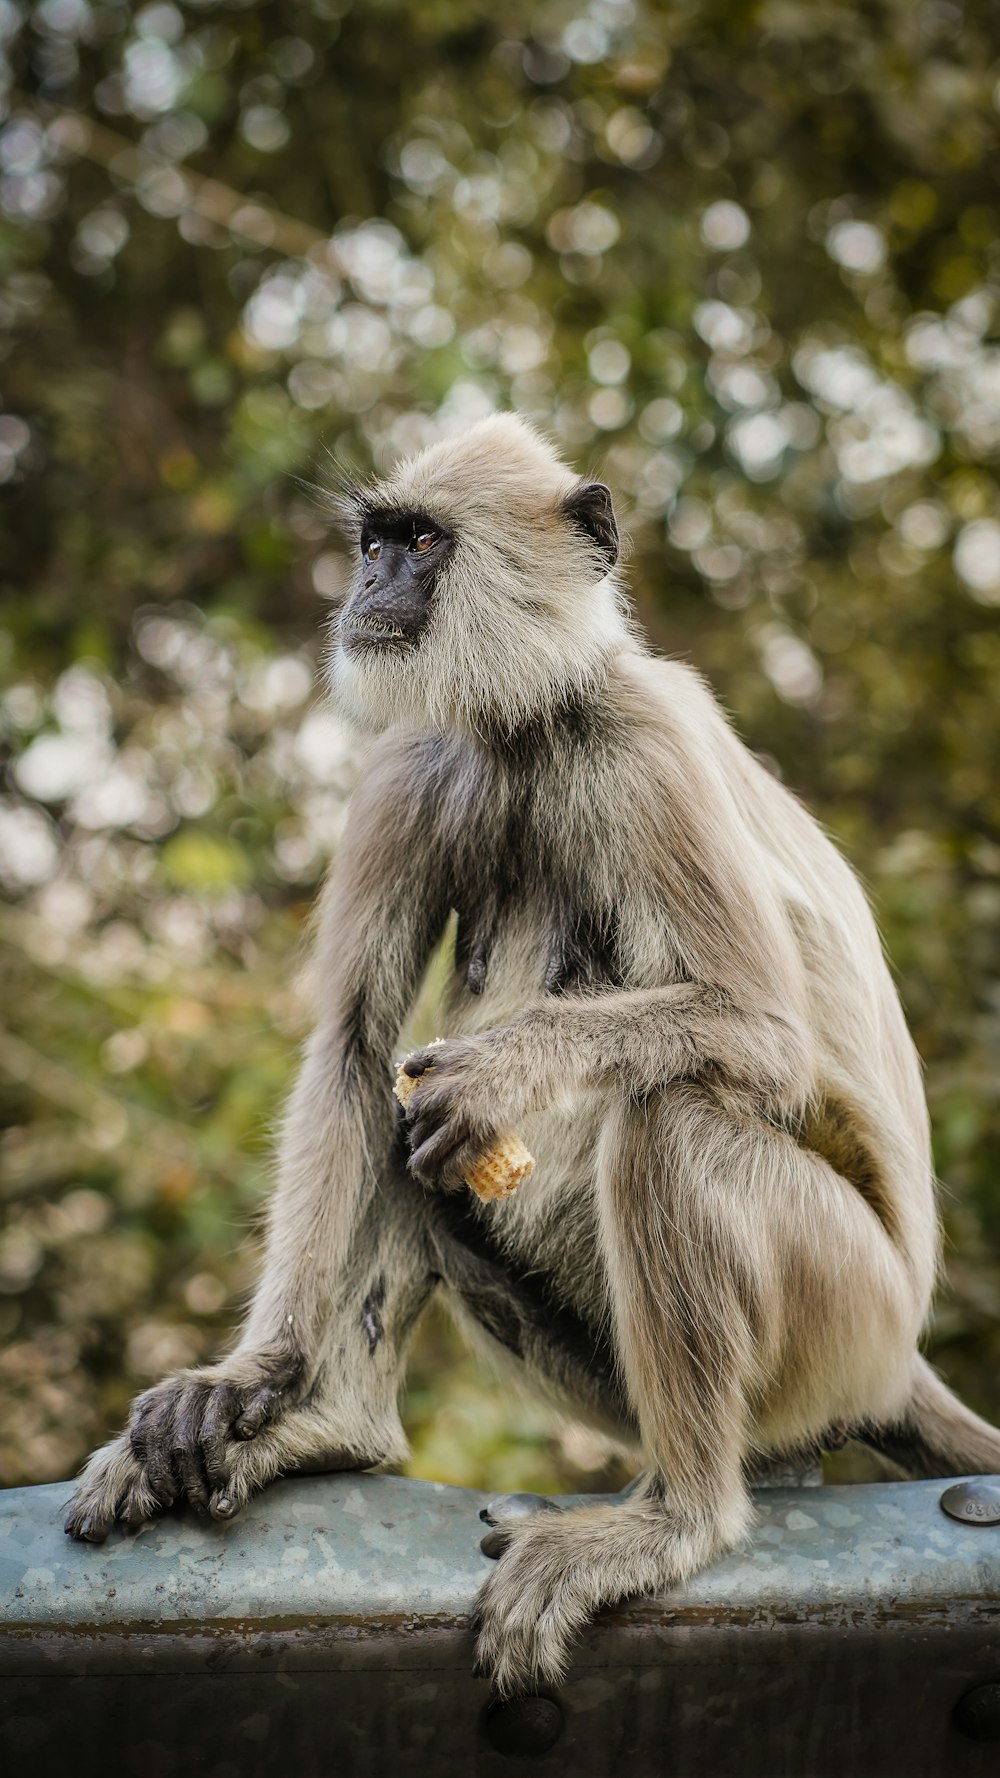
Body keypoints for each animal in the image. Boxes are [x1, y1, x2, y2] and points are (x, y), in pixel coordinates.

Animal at [64, 407, 1000, 1692]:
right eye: (374, 540)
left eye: (420, 542)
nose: (367, 585)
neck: (529, 724)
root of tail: (898, 1354)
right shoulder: (413, 761)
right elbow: (352, 1053)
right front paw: (251, 1375)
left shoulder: (645, 741)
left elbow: (761, 1031)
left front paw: (504, 1069)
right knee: (405, 1130)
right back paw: (334, 1423)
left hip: (841, 1320)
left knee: (666, 1117)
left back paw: (680, 1519)